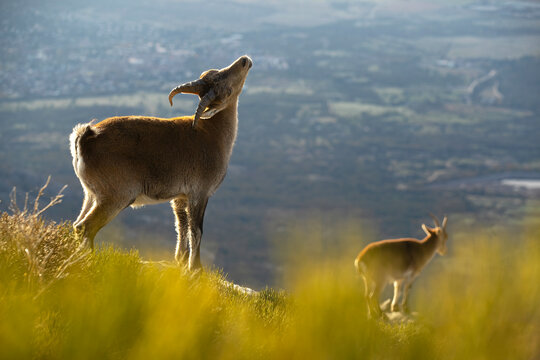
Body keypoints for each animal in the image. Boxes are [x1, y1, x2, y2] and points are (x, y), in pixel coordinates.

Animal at [70, 55, 254, 270]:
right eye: (226, 89)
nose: (244, 60)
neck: (213, 132)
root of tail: (86, 137)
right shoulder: (200, 193)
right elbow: (196, 231)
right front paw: (196, 268)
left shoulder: (180, 197)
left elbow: (181, 227)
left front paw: (180, 260)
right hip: (115, 196)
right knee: (86, 227)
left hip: (91, 194)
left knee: (77, 224)